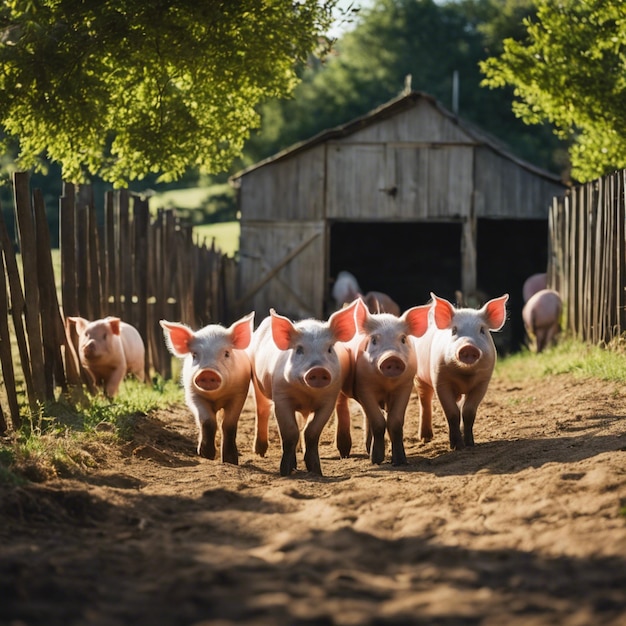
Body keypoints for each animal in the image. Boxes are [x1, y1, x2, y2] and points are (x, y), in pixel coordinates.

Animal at [160, 312, 255, 464]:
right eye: (194, 355)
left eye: (226, 353)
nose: (208, 372)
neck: (215, 395)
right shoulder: (192, 394)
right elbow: (207, 421)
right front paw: (206, 455)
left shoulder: (239, 394)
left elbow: (229, 424)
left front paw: (230, 461)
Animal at [247, 300, 358, 476]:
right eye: (299, 349)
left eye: (329, 349)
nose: (318, 370)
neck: (307, 394)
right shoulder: (281, 397)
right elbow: (290, 432)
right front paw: (286, 471)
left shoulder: (328, 400)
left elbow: (311, 431)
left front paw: (316, 471)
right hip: (257, 382)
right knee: (262, 410)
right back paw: (260, 452)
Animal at [334, 298, 432, 464]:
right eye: (374, 340)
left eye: (403, 339)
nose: (392, 358)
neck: (386, 383)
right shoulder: (364, 386)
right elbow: (378, 422)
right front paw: (376, 460)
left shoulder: (405, 386)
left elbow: (395, 422)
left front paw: (400, 462)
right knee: (341, 407)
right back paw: (345, 454)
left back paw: (368, 449)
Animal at [414, 292, 508, 448]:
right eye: (454, 330)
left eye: (482, 330)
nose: (468, 346)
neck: (465, 375)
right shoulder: (440, 381)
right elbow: (452, 413)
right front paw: (456, 447)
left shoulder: (483, 383)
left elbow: (468, 412)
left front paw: (470, 444)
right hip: (419, 377)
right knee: (424, 401)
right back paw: (425, 438)